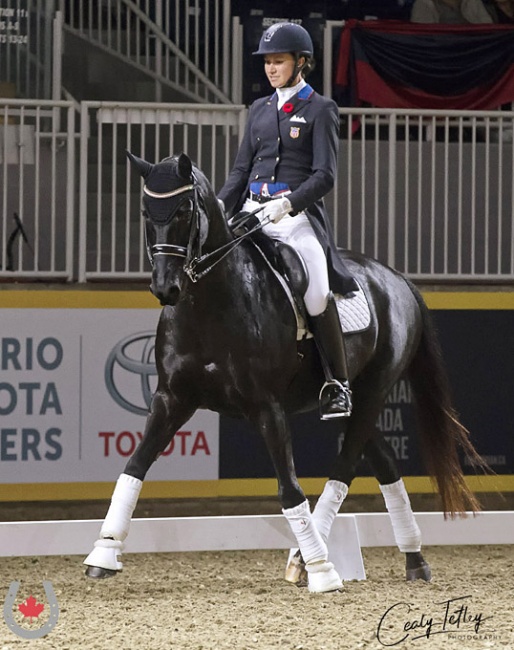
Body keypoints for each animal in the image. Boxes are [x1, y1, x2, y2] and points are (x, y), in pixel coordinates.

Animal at [84, 153, 484, 592]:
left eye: (184, 210)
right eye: (145, 212)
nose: (165, 288)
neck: (210, 303)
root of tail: (396, 279)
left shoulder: (266, 406)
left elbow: (289, 489)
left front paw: (323, 572)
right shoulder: (172, 399)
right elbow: (134, 467)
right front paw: (102, 553)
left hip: (374, 391)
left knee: (344, 469)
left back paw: (310, 559)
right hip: (353, 404)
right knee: (385, 464)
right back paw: (412, 558)